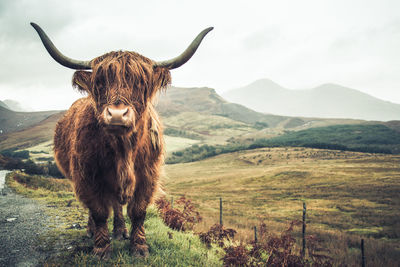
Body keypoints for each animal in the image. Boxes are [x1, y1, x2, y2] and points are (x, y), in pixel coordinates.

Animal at [31, 23, 212, 260]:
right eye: (100, 82)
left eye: (141, 83)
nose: (117, 115)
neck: (123, 148)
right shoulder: (87, 177)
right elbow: (98, 211)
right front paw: (101, 249)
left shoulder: (147, 176)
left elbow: (138, 211)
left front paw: (139, 247)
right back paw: (92, 231)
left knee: (117, 205)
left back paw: (120, 231)